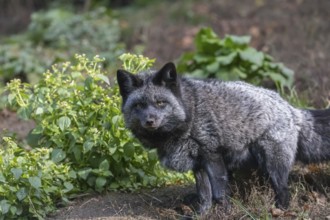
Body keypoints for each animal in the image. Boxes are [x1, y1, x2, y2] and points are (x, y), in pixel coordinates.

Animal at [116, 62, 330, 214]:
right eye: (139, 105)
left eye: (160, 103)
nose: (150, 121)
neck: (190, 113)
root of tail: (291, 109)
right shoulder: (198, 163)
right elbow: (204, 194)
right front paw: (202, 214)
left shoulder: (212, 155)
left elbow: (218, 192)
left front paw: (224, 213)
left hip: (273, 165)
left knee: (285, 191)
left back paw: (280, 211)